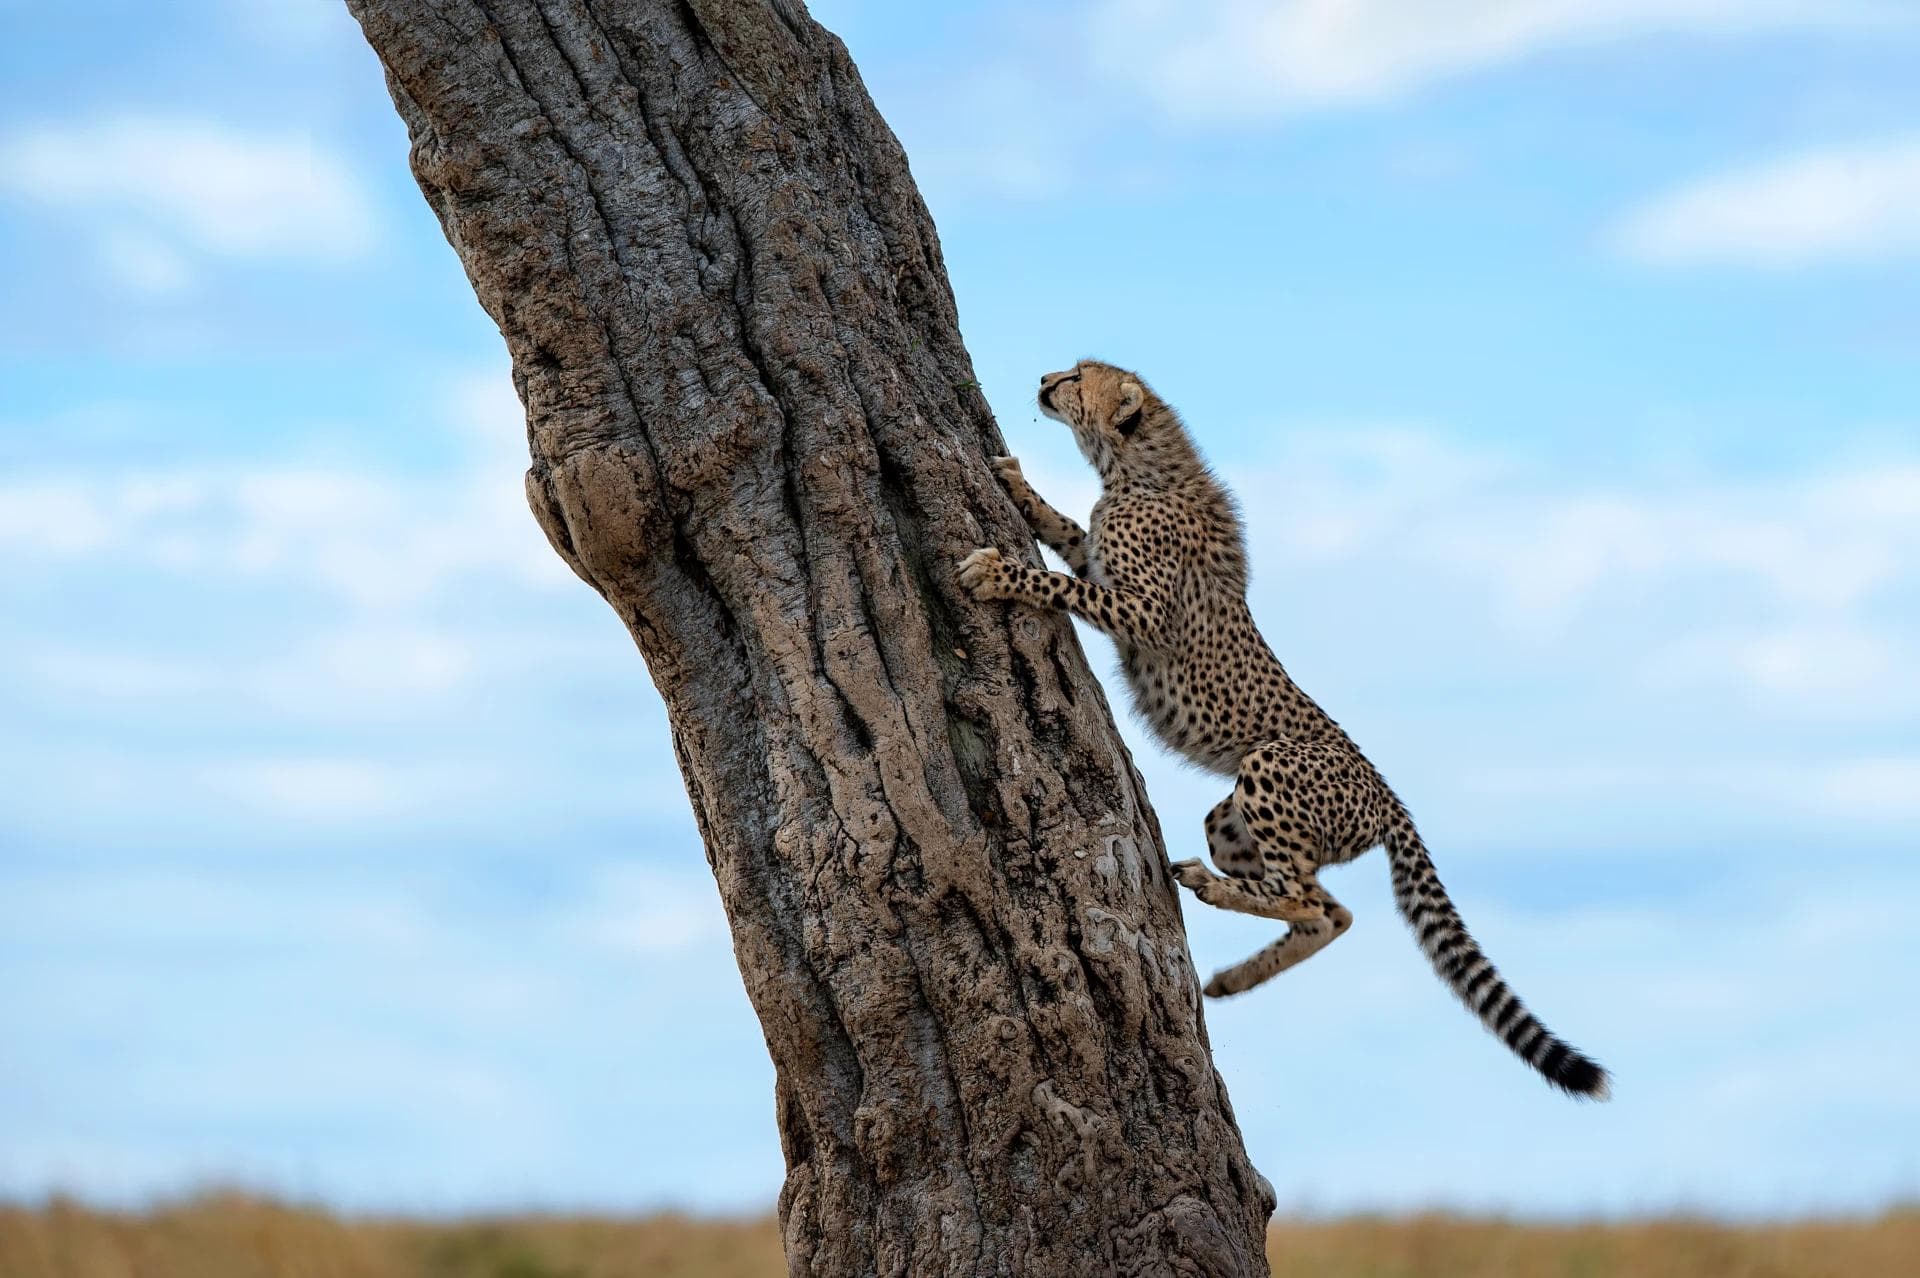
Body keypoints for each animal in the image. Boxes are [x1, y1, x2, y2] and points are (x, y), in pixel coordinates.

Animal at [956, 359, 1610, 1099]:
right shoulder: (1100, 558)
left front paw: (999, 571)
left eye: (1077, 378)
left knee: (1305, 898)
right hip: (1230, 819)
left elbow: (1061, 582)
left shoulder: (1141, 610)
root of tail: (1390, 798)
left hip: (1268, 766)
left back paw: (1214, 893)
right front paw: (1017, 485)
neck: (1135, 468)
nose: (1045, 379)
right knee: (1332, 910)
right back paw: (1237, 976)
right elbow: (1067, 528)